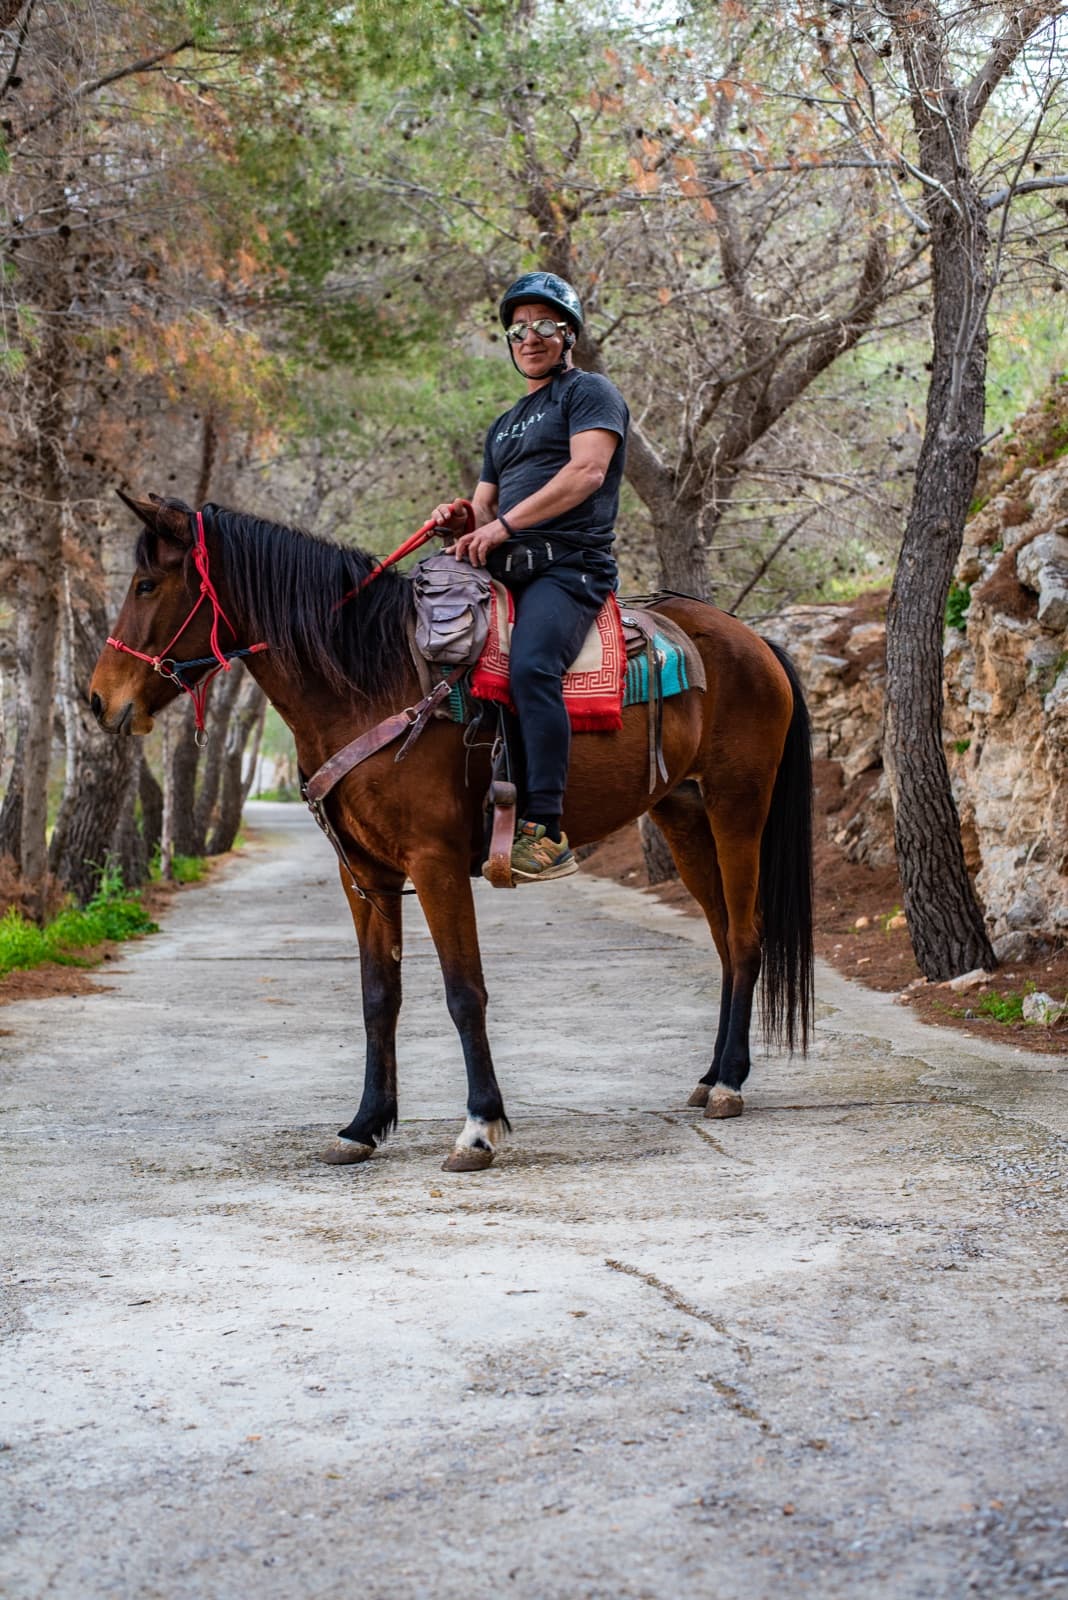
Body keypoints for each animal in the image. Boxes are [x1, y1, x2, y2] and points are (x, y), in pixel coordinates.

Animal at [89, 494, 813, 1172]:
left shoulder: (433, 864)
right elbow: (379, 996)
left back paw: (730, 1084)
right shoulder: (365, 874)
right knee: (724, 941)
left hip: (737, 806)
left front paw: (479, 1127)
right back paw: (712, 1074)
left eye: (146, 585)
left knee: (745, 939)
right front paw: (363, 1125)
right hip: (682, 816)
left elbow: (464, 992)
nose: (99, 701)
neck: (371, 681)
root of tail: (755, 644)